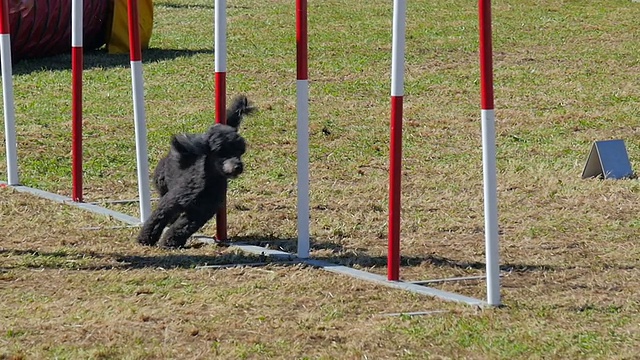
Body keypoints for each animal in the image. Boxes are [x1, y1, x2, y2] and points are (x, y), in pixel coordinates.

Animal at [138, 95, 255, 248]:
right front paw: (145, 239)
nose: (238, 166)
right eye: (221, 151)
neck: (205, 183)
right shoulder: (171, 202)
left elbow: (183, 227)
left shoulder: (200, 212)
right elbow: (157, 219)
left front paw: (170, 242)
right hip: (162, 181)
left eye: (240, 152)